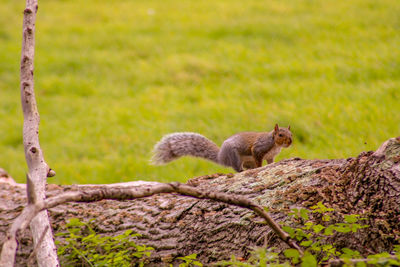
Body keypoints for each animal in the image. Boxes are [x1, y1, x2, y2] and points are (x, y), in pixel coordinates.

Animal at [152, 124, 292, 173]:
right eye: (280, 135)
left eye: (291, 134)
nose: (290, 142)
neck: (275, 144)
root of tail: (221, 157)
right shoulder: (259, 148)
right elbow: (258, 159)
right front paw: (260, 168)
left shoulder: (270, 156)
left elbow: (271, 162)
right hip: (235, 157)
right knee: (236, 168)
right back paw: (241, 170)